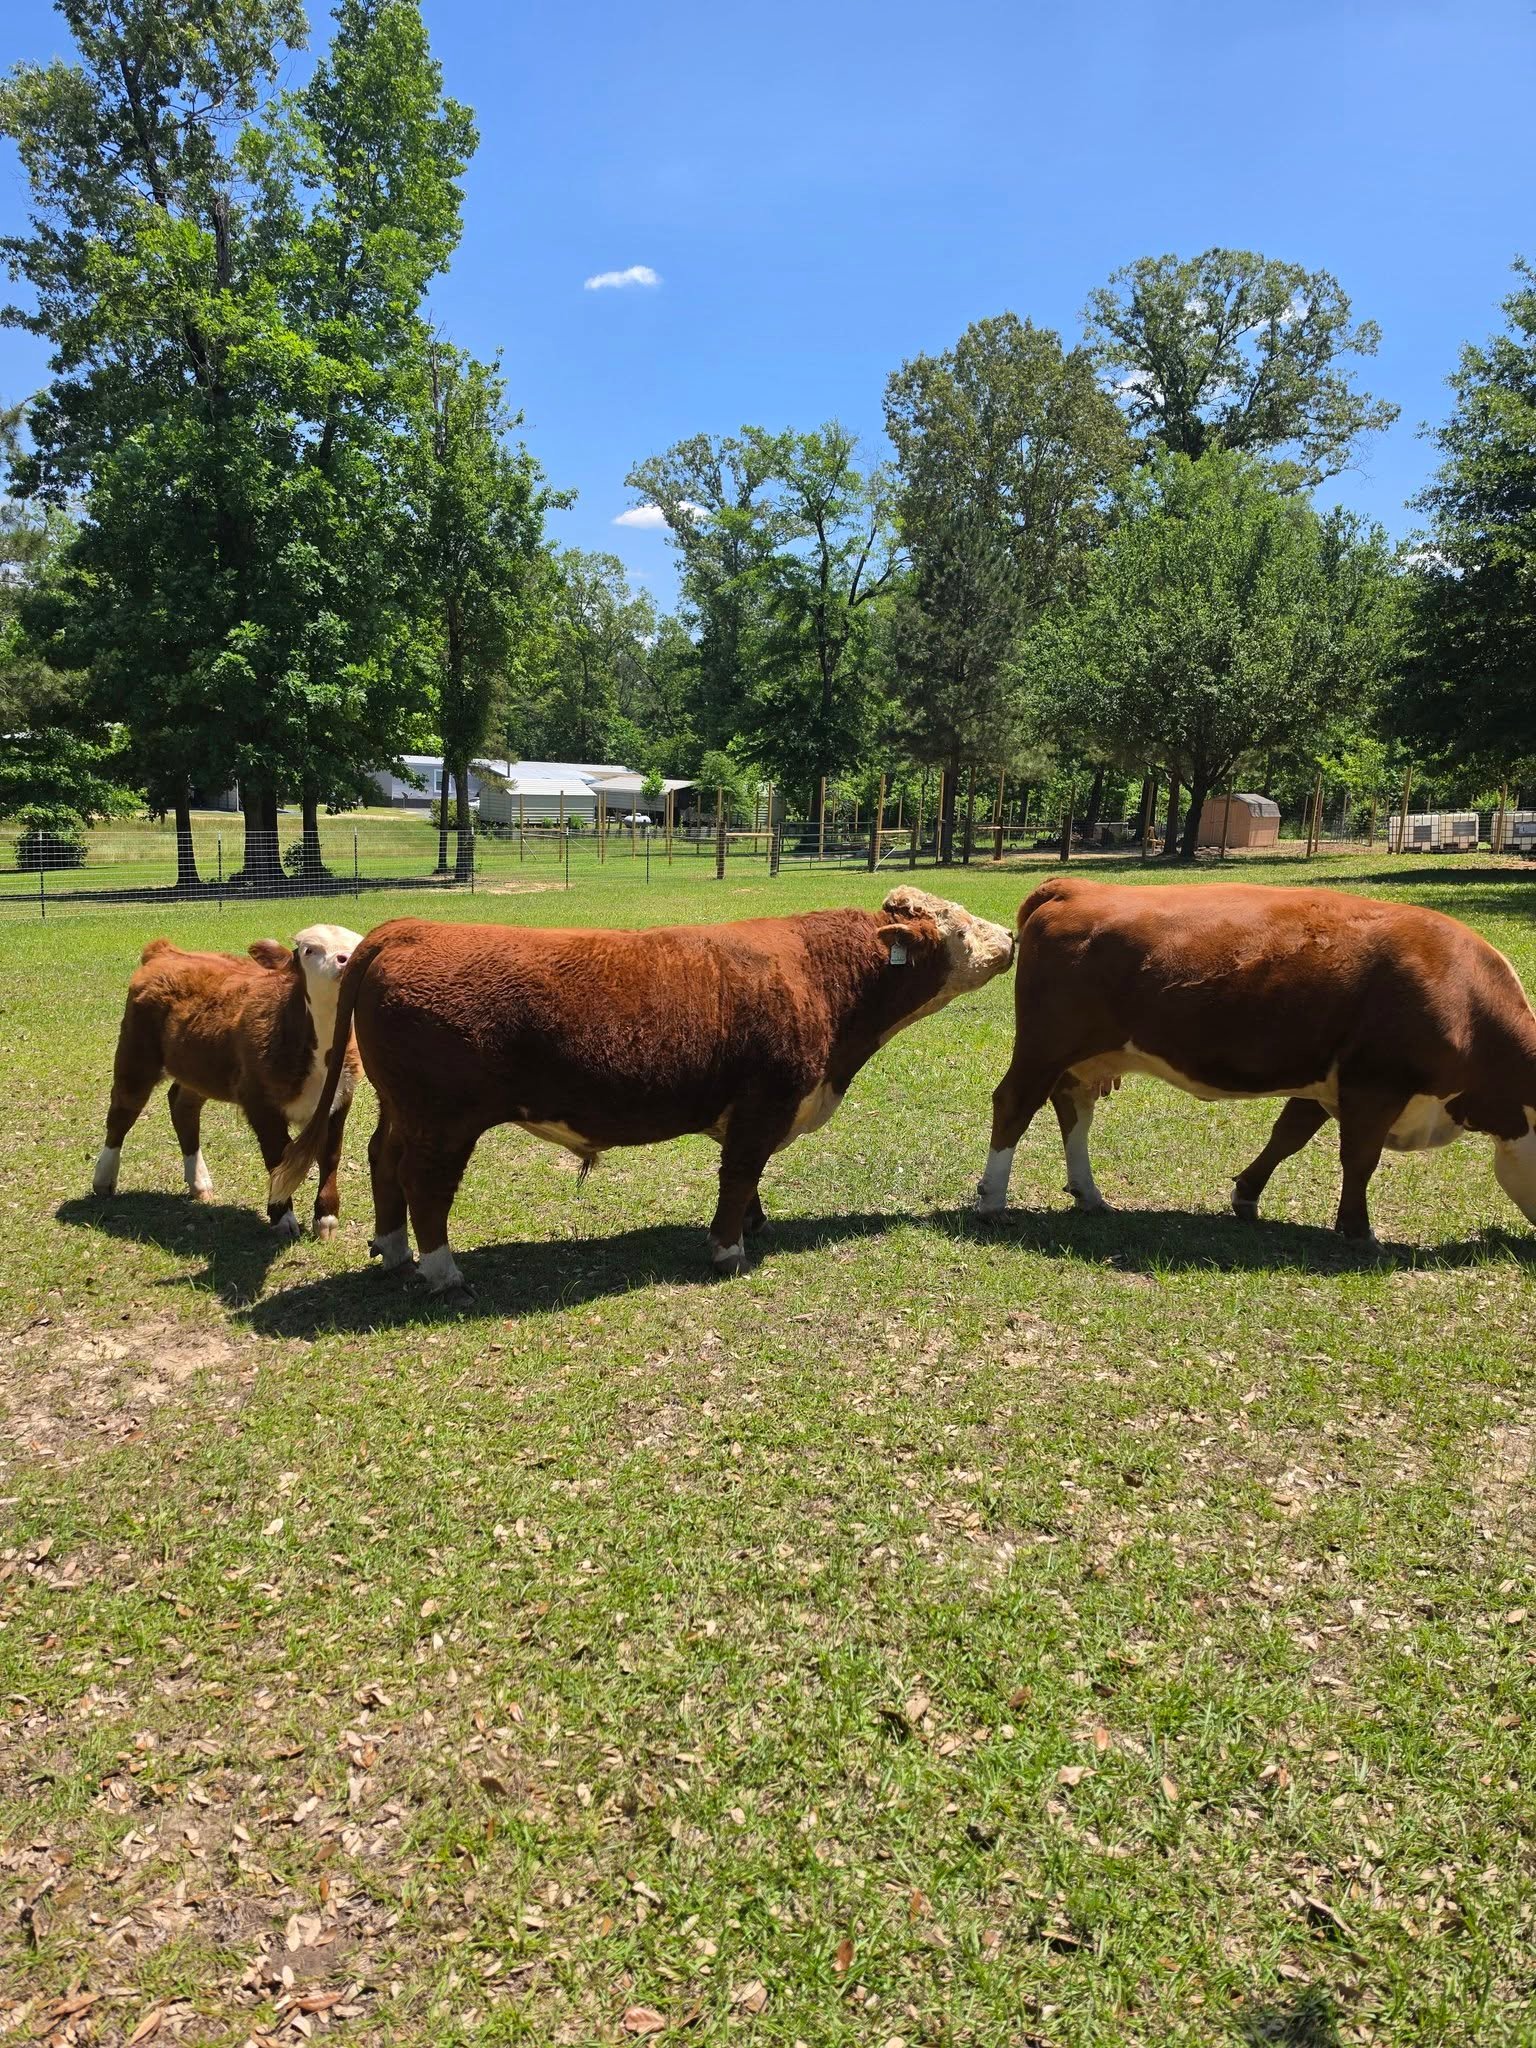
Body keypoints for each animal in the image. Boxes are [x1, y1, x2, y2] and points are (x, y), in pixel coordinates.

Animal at [93, 924, 364, 1238]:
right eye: (310, 950)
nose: (346, 960)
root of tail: (165, 951)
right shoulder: (259, 1101)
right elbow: (277, 1156)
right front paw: (282, 1217)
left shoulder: (340, 1099)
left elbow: (330, 1155)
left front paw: (326, 1219)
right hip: (136, 1054)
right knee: (123, 1111)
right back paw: (103, 1179)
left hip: (198, 1067)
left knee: (182, 1106)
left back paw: (199, 1183)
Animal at [269, 888, 1016, 1290]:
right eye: (954, 924)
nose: (1008, 933)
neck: (822, 979)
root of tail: (410, 928)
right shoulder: (765, 1100)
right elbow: (739, 1174)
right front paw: (729, 1250)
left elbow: (749, 1179)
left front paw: (753, 1223)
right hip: (444, 1119)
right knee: (424, 1182)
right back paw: (442, 1269)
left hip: (403, 1108)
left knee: (382, 1159)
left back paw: (393, 1248)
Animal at [975, 877, 1536, 1244]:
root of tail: (1074, 885)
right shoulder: (1373, 1085)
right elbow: (1359, 1159)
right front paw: (1358, 1231)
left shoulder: (1324, 1081)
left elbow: (1288, 1136)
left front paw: (1246, 1195)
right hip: (1045, 1046)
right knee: (1014, 1104)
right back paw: (993, 1201)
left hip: (1082, 1057)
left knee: (1073, 1109)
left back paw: (1089, 1194)